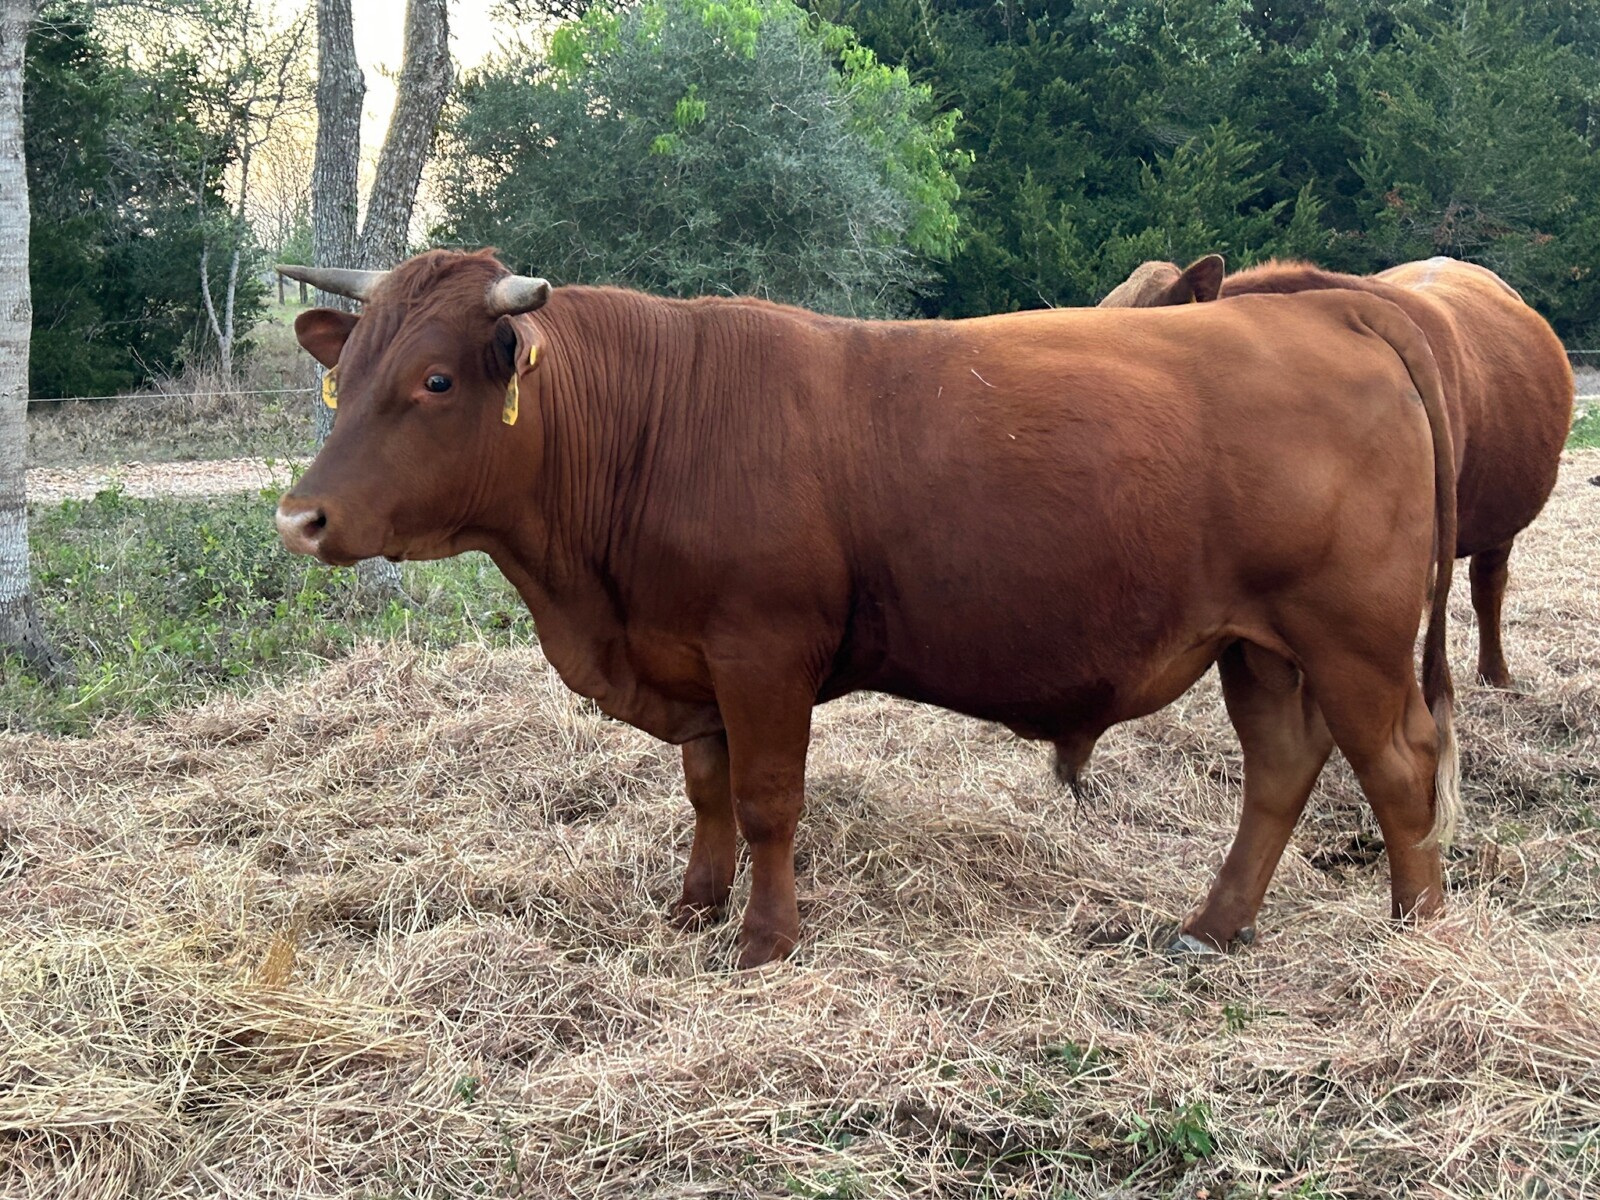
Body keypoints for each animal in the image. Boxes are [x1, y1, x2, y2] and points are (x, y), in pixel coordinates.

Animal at [274, 250, 1459, 968]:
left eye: (435, 381)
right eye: (348, 373)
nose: (300, 517)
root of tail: (1331, 308)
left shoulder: (762, 652)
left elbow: (766, 801)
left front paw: (765, 941)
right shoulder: (690, 661)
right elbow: (705, 794)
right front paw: (694, 907)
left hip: (1351, 638)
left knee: (1399, 767)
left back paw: (1417, 937)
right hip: (1256, 646)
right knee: (1282, 769)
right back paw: (1212, 927)